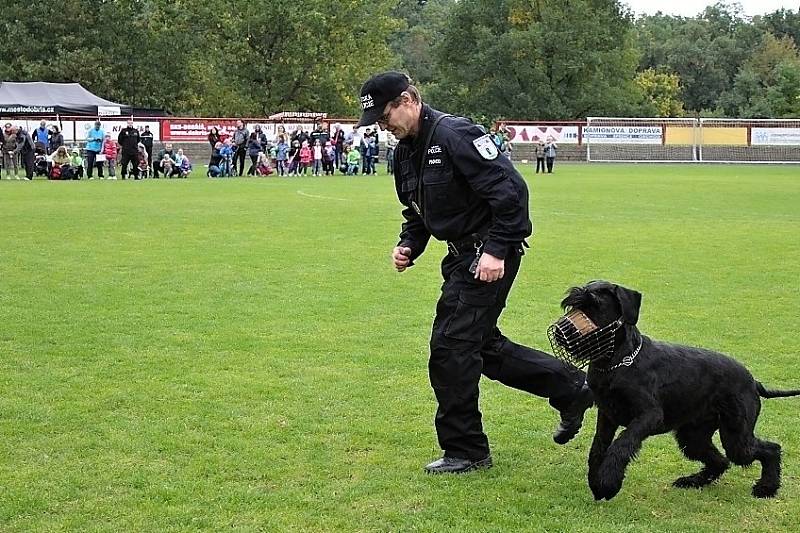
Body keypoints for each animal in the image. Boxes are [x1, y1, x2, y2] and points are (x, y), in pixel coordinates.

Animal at [552, 280, 800, 500]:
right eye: (572, 305)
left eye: (594, 305)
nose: (560, 333)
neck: (619, 362)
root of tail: (753, 381)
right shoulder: (607, 415)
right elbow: (598, 447)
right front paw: (595, 481)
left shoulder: (649, 415)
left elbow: (622, 443)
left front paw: (608, 483)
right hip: (694, 436)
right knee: (720, 460)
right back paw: (692, 481)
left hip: (736, 436)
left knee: (770, 449)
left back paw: (766, 488)